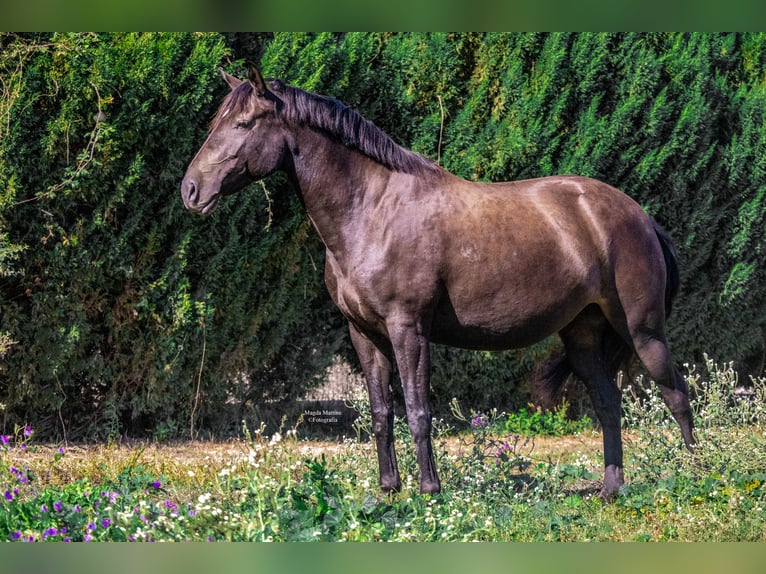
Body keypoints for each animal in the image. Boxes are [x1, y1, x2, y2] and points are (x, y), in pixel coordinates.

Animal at [183, 65, 700, 502]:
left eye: (244, 125)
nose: (190, 190)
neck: (372, 210)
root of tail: (640, 217)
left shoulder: (408, 329)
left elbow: (418, 411)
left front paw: (430, 491)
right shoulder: (364, 334)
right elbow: (381, 413)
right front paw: (389, 490)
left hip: (643, 331)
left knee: (676, 394)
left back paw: (699, 478)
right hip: (584, 336)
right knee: (608, 403)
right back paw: (612, 490)